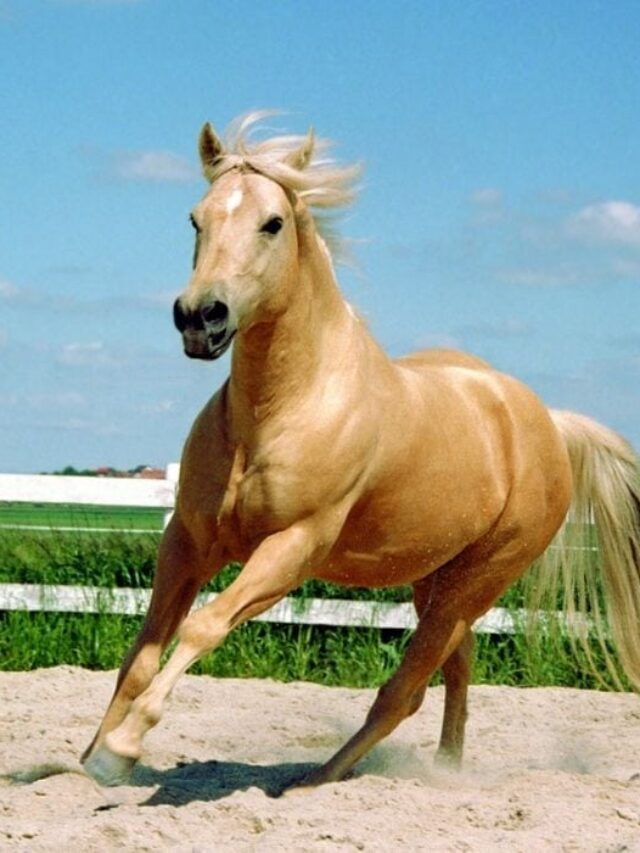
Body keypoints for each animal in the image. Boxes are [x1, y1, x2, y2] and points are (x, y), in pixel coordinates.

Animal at [82, 113, 640, 790]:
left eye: (273, 223)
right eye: (196, 218)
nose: (200, 317)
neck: (282, 410)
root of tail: (546, 423)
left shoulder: (292, 547)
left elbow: (203, 626)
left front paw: (121, 749)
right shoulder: (187, 541)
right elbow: (140, 654)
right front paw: (84, 760)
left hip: (476, 582)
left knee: (406, 689)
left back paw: (315, 780)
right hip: (435, 577)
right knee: (457, 666)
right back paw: (444, 771)